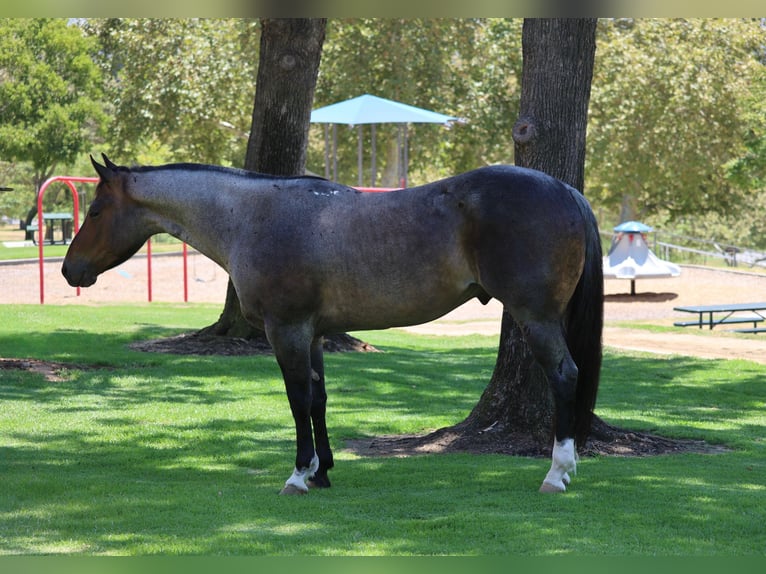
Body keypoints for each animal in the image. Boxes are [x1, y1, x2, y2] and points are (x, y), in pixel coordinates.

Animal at [63, 154, 603, 495]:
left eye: (96, 210)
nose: (70, 270)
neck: (253, 216)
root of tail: (564, 190)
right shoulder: (315, 333)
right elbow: (319, 400)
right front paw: (323, 472)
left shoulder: (287, 331)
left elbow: (298, 400)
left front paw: (299, 475)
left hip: (536, 318)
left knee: (565, 376)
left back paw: (557, 473)